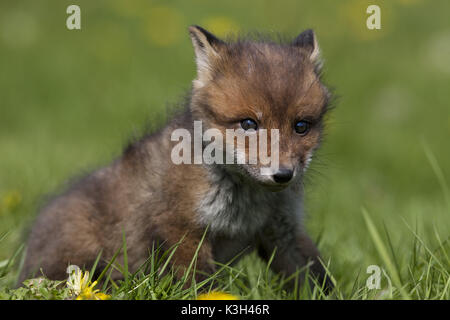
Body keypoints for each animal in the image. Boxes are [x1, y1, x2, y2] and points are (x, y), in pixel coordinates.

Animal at [19, 26, 332, 292]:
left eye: (301, 126)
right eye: (248, 124)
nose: (284, 175)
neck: (247, 205)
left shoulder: (283, 230)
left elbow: (318, 278)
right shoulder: (181, 228)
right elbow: (200, 286)